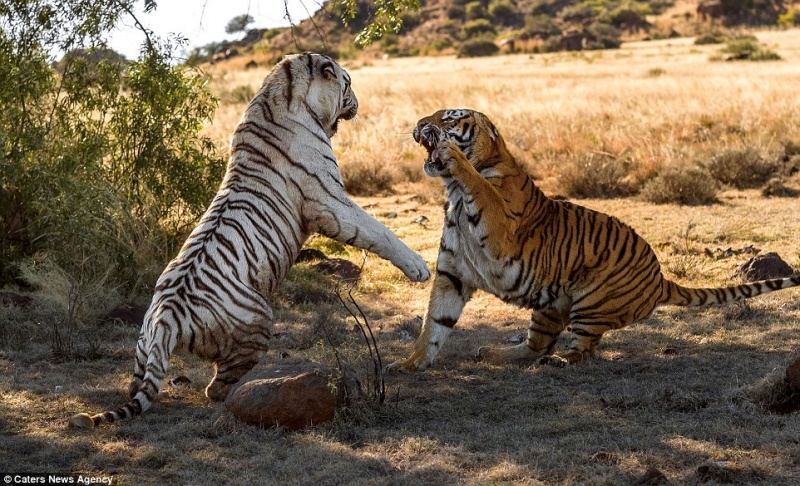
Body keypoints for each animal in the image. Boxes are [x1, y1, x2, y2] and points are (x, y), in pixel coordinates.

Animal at [386, 108, 792, 370]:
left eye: (449, 118)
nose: (419, 126)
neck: (452, 192)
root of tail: (662, 280)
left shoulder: (500, 232)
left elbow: (479, 186)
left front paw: (452, 154)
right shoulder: (451, 273)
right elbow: (434, 325)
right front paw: (409, 364)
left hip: (592, 301)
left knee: (584, 349)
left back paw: (560, 361)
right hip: (550, 306)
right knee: (536, 345)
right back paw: (498, 353)